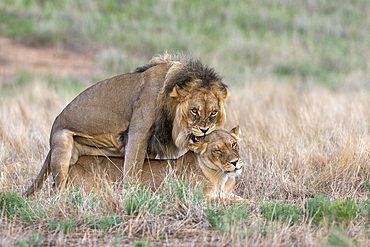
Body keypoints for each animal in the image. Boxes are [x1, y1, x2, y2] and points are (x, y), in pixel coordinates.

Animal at [23, 54, 228, 197]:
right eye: (194, 111)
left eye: (213, 113)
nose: (205, 129)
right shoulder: (139, 131)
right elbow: (132, 168)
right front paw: (131, 195)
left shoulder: (150, 144)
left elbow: (142, 168)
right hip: (63, 145)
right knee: (56, 187)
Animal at [67, 126, 246, 202]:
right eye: (217, 150)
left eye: (233, 145)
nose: (235, 162)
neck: (222, 176)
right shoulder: (197, 198)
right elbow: (226, 202)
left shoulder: (227, 192)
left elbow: (239, 199)